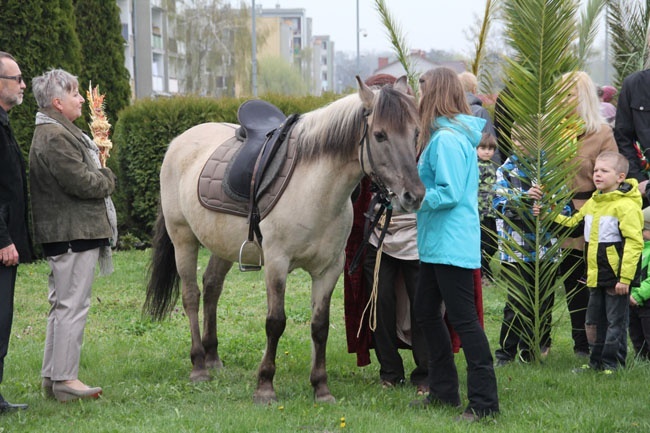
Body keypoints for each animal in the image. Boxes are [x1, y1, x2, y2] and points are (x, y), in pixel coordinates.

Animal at [144, 76, 422, 404]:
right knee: (191, 296)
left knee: (211, 288)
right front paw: (265, 385)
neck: (315, 188)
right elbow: (275, 322)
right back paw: (199, 365)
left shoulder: (329, 269)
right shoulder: (277, 263)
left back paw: (213, 358)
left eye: (416, 132)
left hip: (222, 245)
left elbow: (320, 326)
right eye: (379, 135)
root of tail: (178, 142)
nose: (414, 195)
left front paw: (321, 387)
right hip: (183, 239)